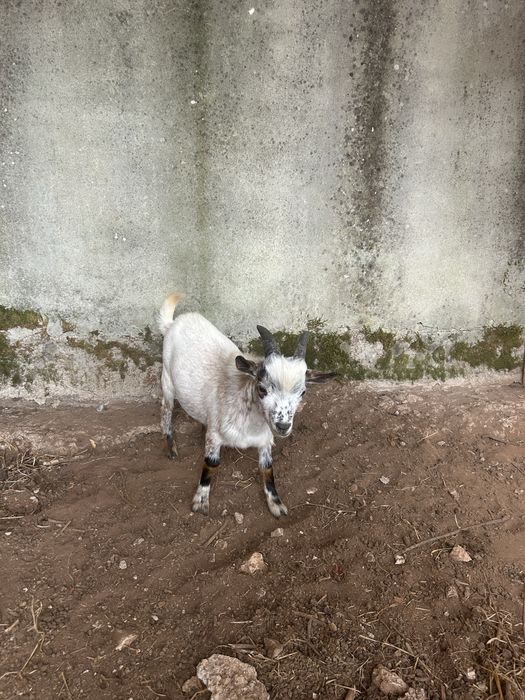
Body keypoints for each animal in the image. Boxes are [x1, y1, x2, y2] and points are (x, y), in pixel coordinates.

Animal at [157, 293, 335, 517]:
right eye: (262, 388)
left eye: (302, 392)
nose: (283, 426)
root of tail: (173, 323)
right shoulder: (215, 436)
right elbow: (211, 463)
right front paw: (200, 501)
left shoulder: (265, 440)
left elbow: (267, 468)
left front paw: (276, 504)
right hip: (167, 380)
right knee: (166, 410)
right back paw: (170, 447)